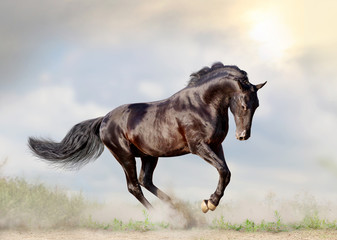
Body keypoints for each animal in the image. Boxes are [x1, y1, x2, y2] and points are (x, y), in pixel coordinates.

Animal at [28, 62, 266, 213]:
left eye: (256, 105)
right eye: (244, 105)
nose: (243, 136)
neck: (202, 104)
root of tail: (104, 119)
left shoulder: (216, 145)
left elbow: (225, 172)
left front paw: (208, 203)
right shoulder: (198, 146)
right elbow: (224, 170)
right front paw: (210, 203)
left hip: (149, 155)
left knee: (145, 180)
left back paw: (178, 211)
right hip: (124, 155)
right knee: (134, 186)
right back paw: (167, 218)